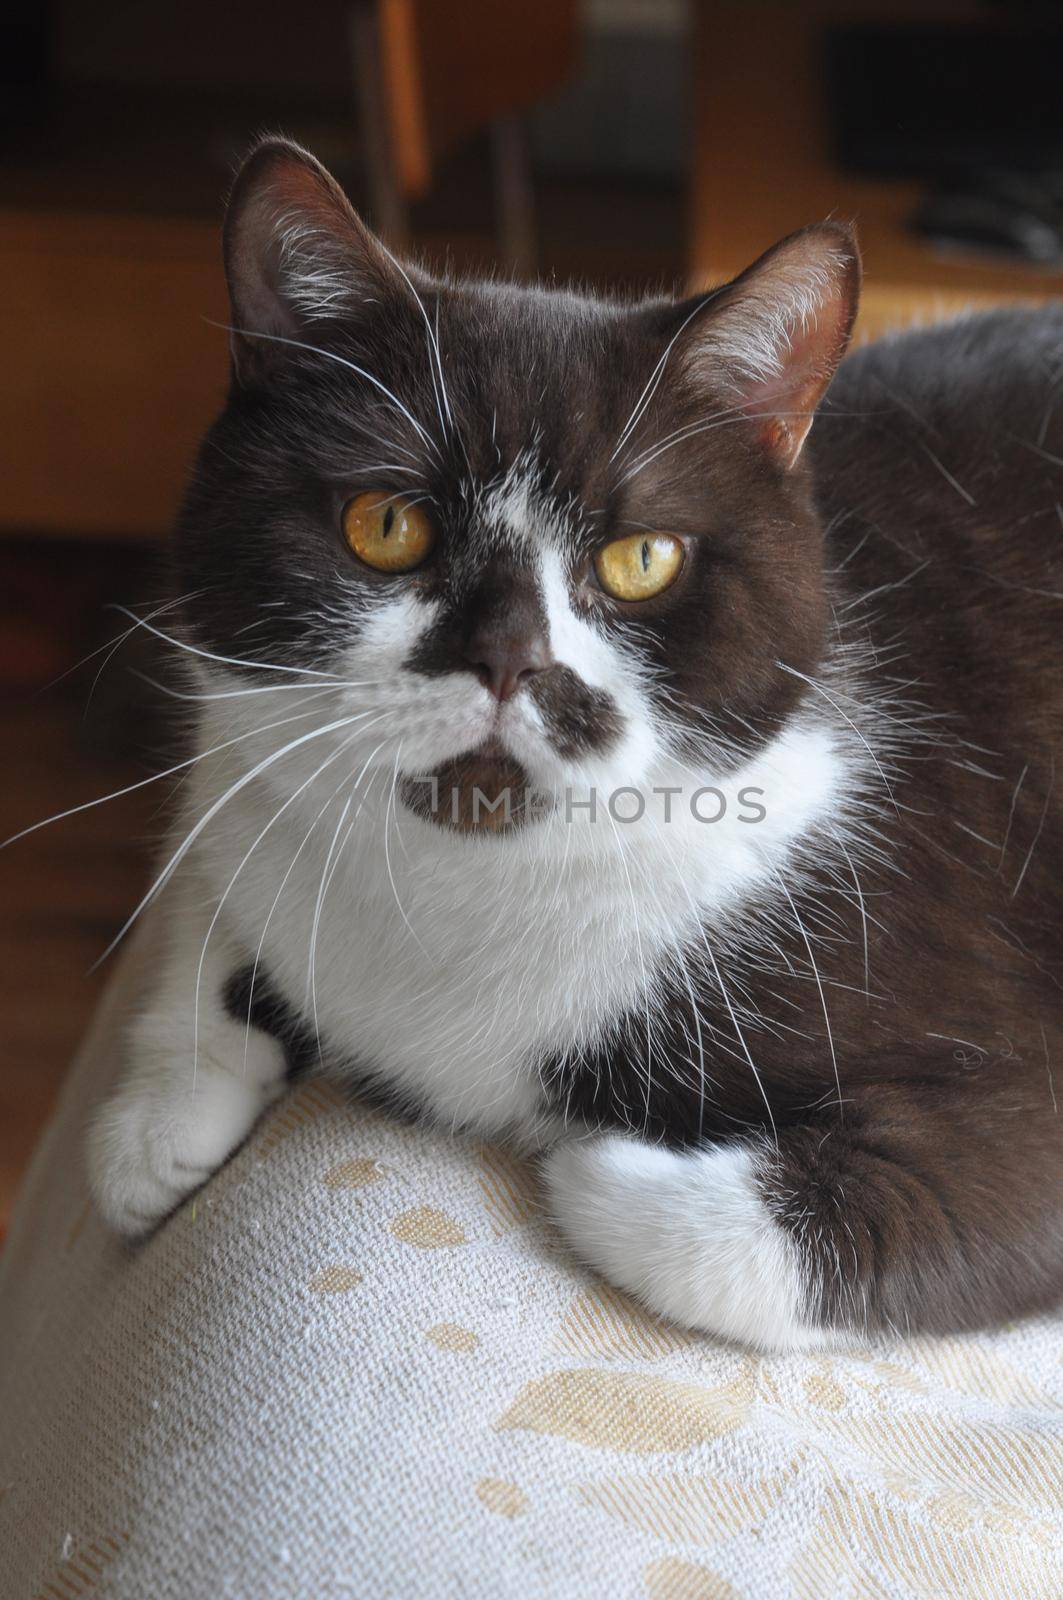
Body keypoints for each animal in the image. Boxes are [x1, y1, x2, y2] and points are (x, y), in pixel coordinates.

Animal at [85, 137, 1063, 1350]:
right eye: (385, 525)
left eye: (642, 559)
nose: (508, 660)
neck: (465, 895)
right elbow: (214, 896)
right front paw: (159, 1116)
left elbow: (679, 1220)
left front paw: (590, 1154)